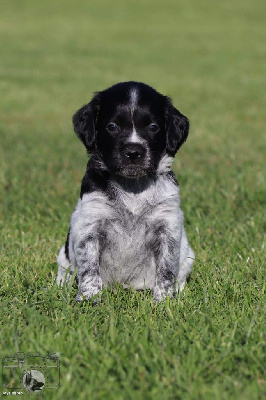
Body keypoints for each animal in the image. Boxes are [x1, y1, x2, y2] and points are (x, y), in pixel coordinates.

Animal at [56, 80, 193, 300]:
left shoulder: (167, 226)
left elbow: (166, 270)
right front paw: (89, 299)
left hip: (188, 256)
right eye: (112, 126)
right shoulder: (90, 224)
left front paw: (163, 301)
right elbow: (89, 269)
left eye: (153, 127)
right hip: (64, 257)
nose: (133, 152)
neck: (132, 188)